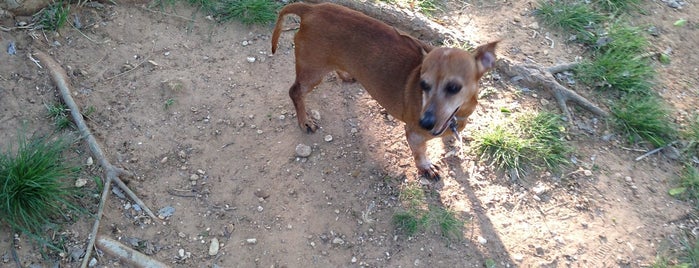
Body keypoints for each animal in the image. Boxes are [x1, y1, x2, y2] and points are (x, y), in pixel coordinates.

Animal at [272, 2, 498, 180]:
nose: (424, 123)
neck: (456, 115)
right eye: (423, 84)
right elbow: (420, 153)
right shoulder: (414, 135)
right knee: (295, 92)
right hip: (312, 73)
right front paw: (425, 167)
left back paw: (345, 75)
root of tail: (311, 9)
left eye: (454, 87)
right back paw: (305, 121)